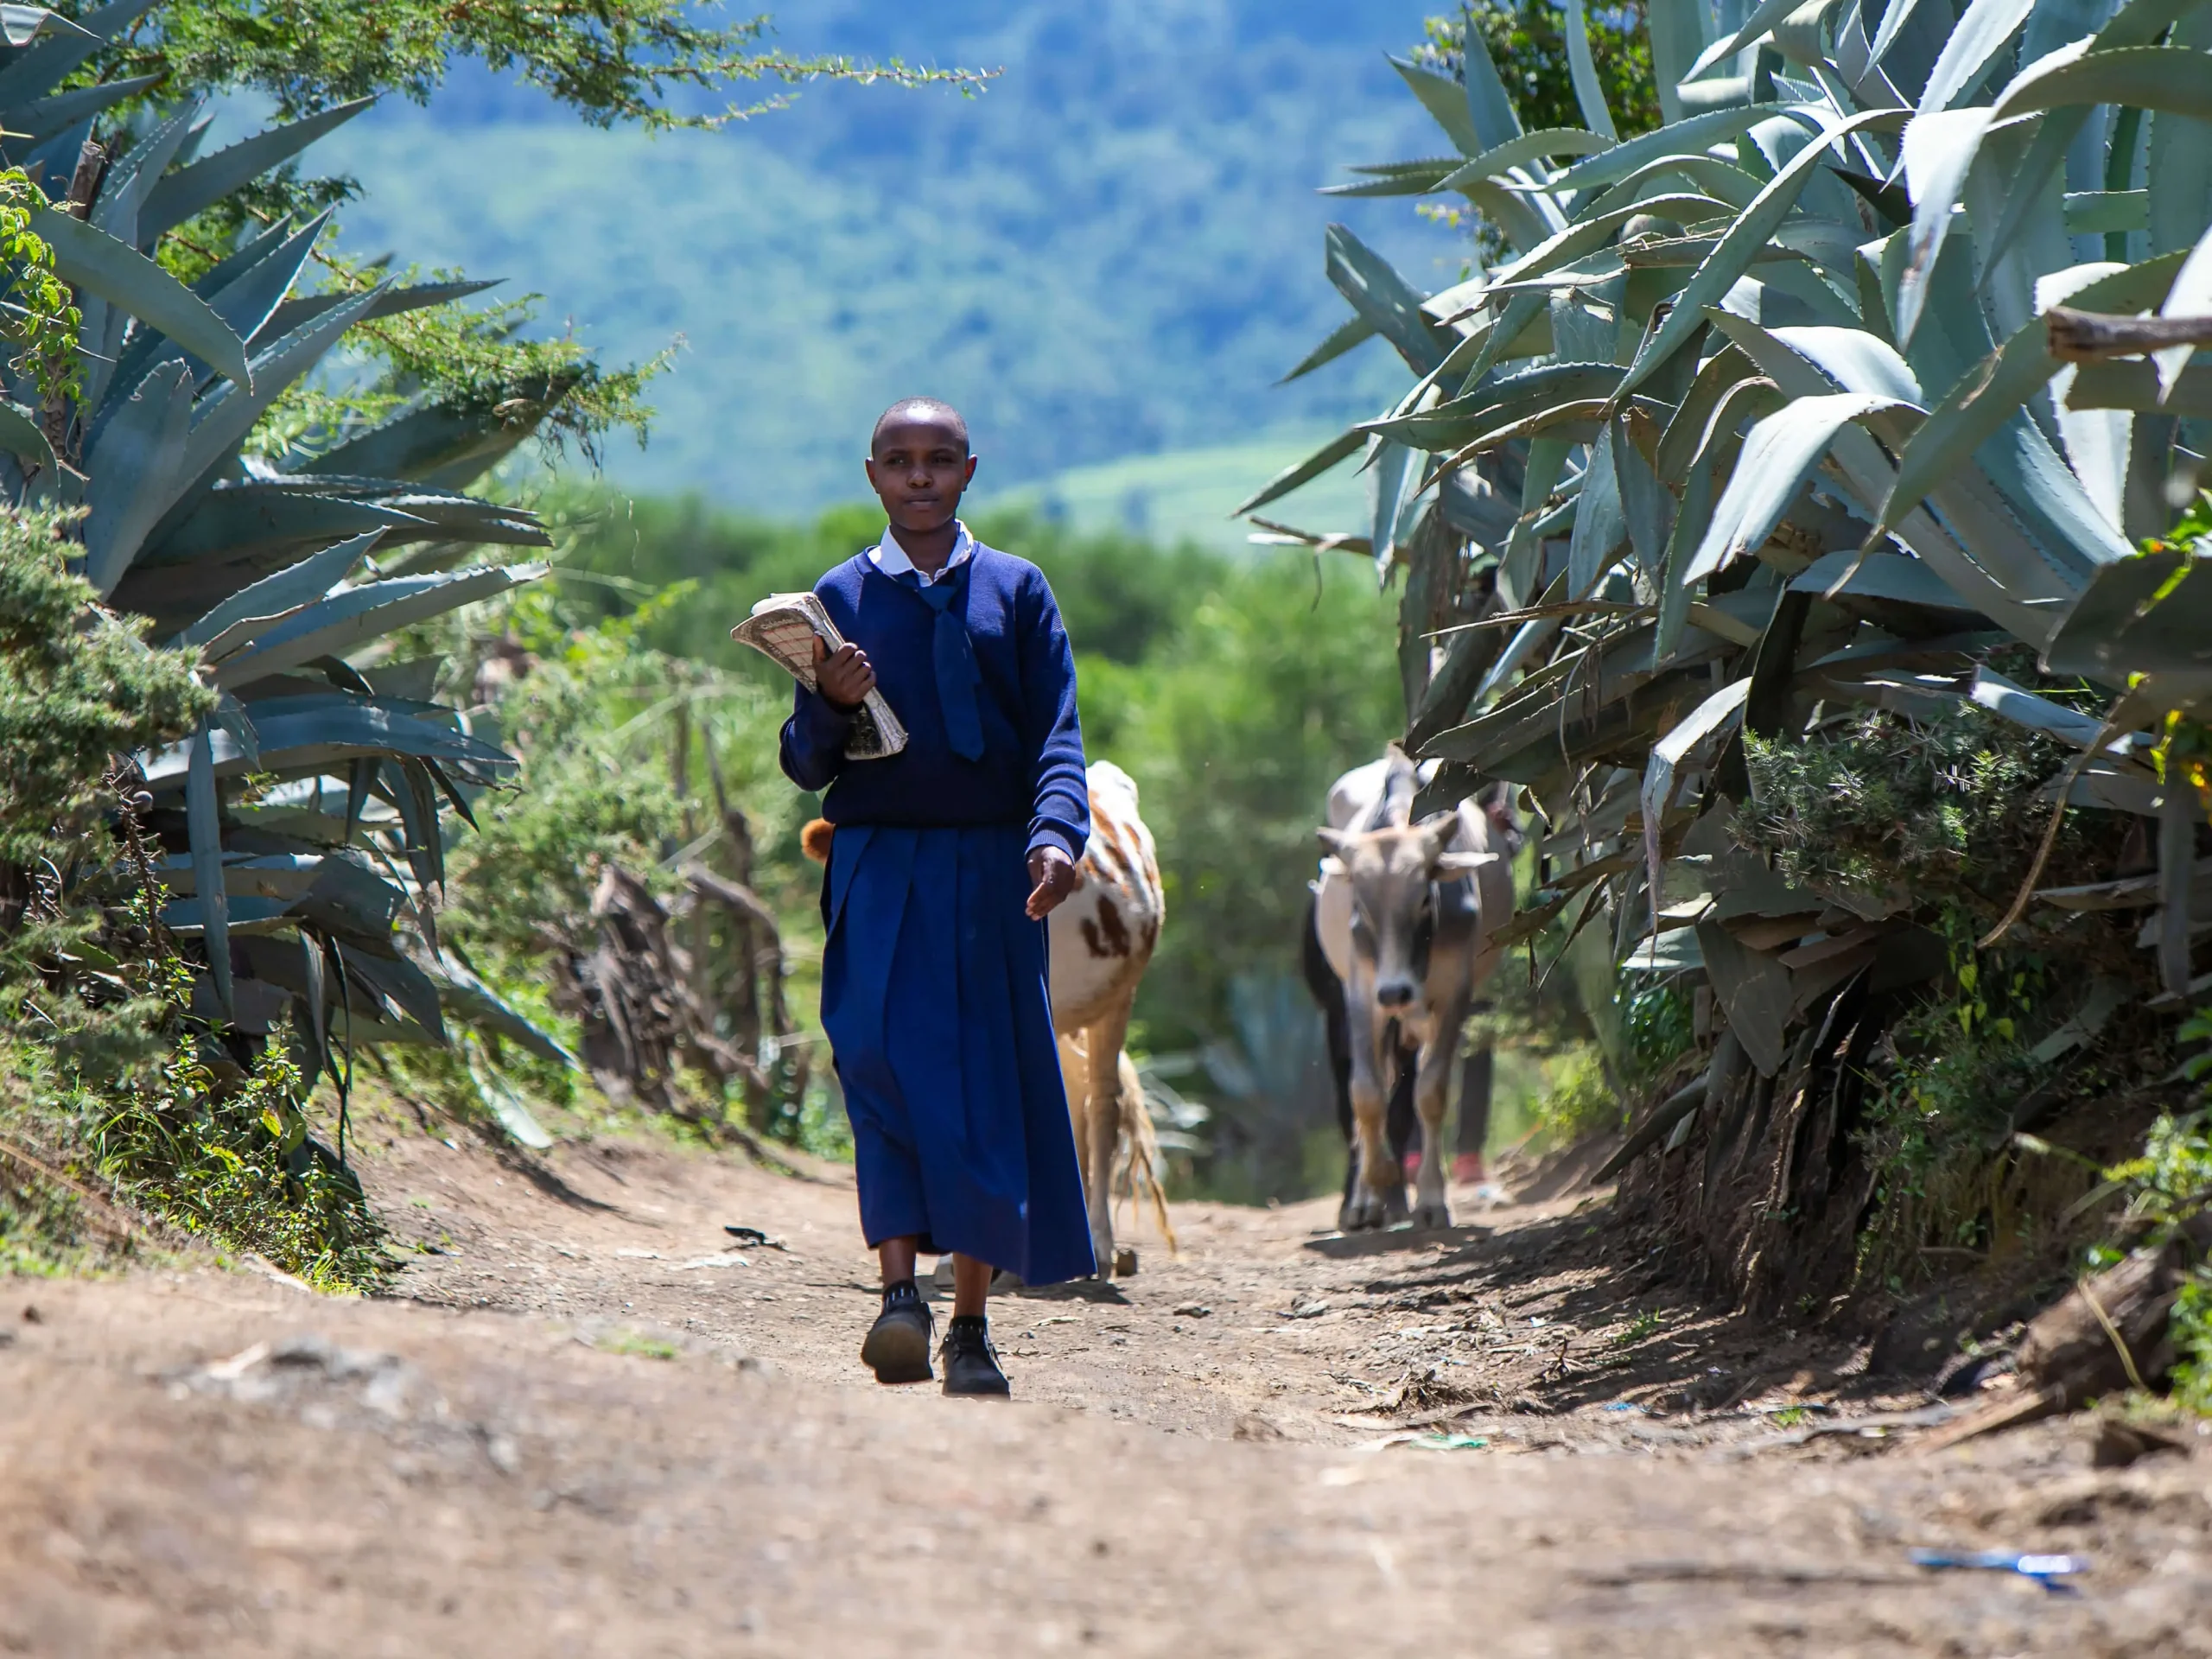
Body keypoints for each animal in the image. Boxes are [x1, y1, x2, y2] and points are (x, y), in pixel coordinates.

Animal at [1309, 752, 1522, 1238]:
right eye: (1360, 906)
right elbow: (1366, 1094)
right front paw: (1373, 1188)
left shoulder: (1454, 995)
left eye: (1425, 898)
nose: (1395, 990)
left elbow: (1431, 1092)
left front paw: (1430, 1202)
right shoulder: (1360, 995)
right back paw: (1369, 1200)